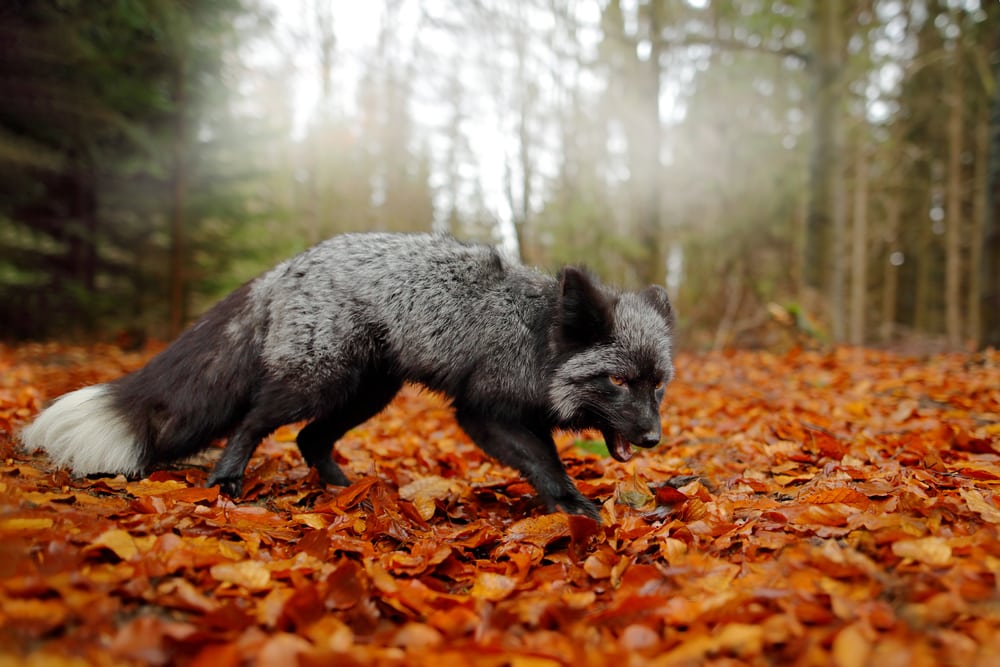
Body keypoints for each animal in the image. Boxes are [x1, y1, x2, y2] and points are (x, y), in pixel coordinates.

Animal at [20, 232, 675, 520]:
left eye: (657, 384)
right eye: (618, 382)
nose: (651, 439)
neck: (536, 338)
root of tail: (287, 265)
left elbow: (547, 461)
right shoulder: (482, 412)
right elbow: (547, 464)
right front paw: (575, 509)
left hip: (367, 394)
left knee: (309, 439)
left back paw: (344, 489)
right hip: (318, 384)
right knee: (254, 423)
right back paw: (226, 481)